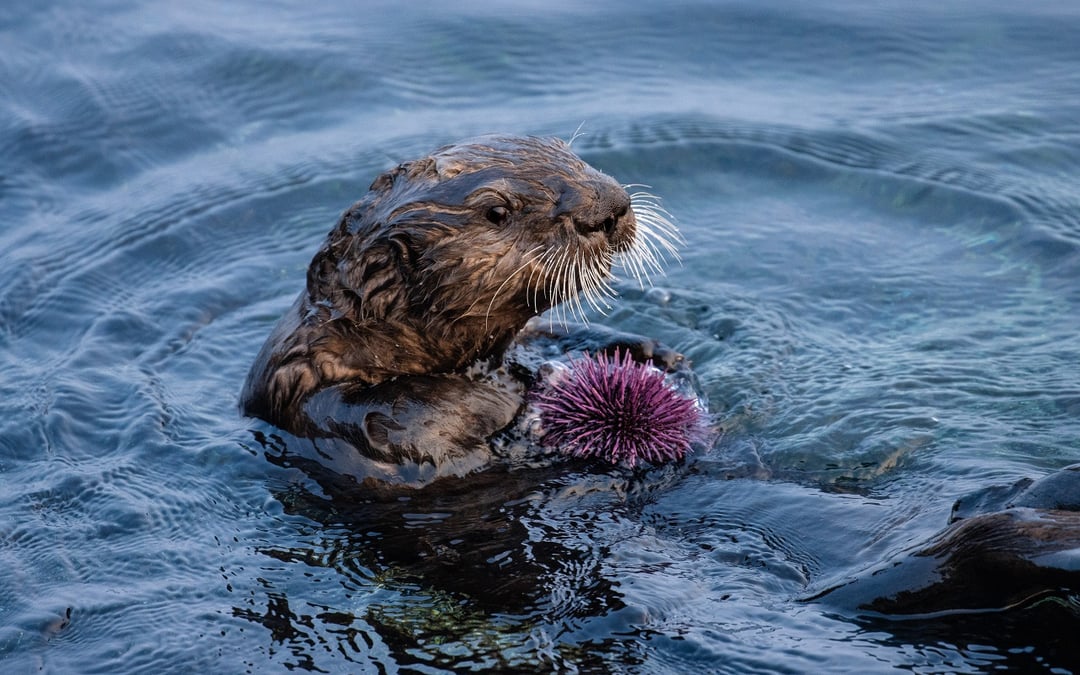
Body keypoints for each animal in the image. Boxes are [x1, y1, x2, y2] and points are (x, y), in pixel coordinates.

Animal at [241, 135, 681, 481]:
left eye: (566, 151)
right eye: (497, 212)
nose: (611, 205)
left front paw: (647, 352)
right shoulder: (316, 402)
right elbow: (406, 416)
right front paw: (496, 401)